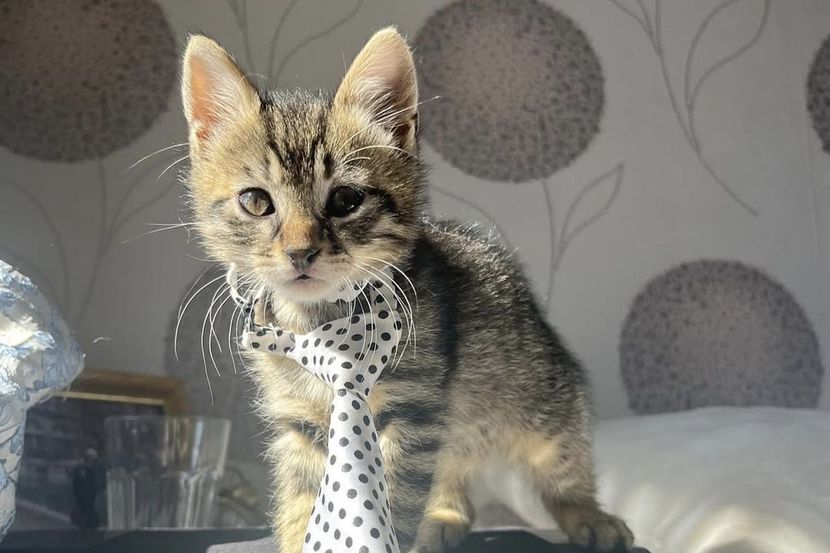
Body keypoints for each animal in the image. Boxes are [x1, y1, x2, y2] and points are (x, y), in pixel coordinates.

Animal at [180, 27, 633, 553]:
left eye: (345, 200)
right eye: (255, 201)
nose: (299, 252)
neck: (318, 320)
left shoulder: (413, 409)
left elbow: (388, 502)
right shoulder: (301, 423)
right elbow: (302, 502)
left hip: (538, 389)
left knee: (560, 454)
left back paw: (588, 514)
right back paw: (445, 515)